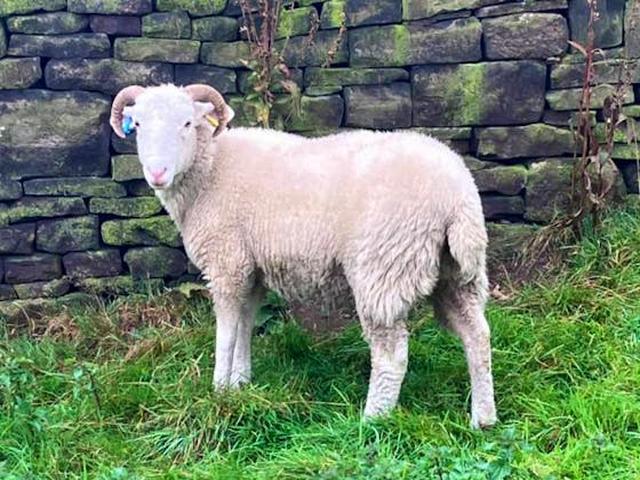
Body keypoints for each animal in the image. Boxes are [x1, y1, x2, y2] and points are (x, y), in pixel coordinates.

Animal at [109, 83, 497, 429]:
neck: (211, 169)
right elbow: (246, 324)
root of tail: (456, 195)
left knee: (391, 355)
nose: (157, 173)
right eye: (138, 124)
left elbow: (227, 332)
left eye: (187, 123)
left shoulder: (227, 262)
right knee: (477, 336)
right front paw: (240, 384)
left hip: (383, 266)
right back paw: (483, 418)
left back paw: (372, 420)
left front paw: (218, 391)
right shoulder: (252, 268)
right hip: (458, 272)